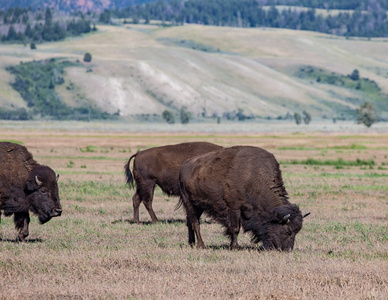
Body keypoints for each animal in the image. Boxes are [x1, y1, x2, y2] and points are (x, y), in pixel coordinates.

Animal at [178, 145, 310, 251]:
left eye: (297, 232)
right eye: (287, 231)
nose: (287, 250)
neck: (253, 177)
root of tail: (185, 166)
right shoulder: (234, 208)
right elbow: (235, 228)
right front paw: (234, 247)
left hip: (197, 206)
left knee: (189, 222)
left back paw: (191, 244)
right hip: (190, 203)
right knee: (195, 223)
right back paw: (201, 245)